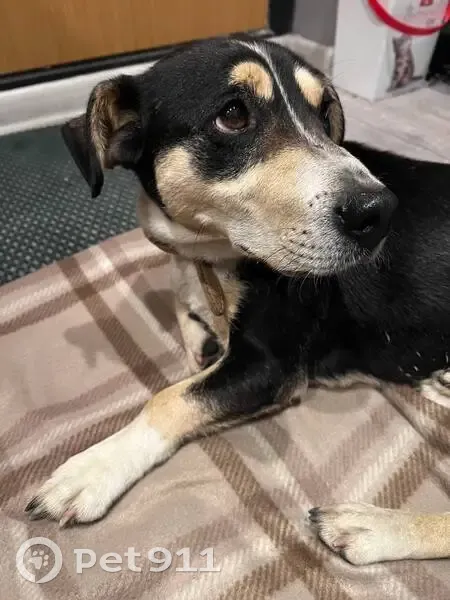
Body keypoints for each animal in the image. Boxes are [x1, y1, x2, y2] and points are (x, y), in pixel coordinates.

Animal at [25, 36, 450, 566]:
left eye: (324, 113)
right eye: (232, 115)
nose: (380, 213)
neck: (214, 254)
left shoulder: (271, 367)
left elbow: (168, 399)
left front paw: (92, 470)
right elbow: (181, 301)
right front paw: (202, 334)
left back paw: (370, 526)